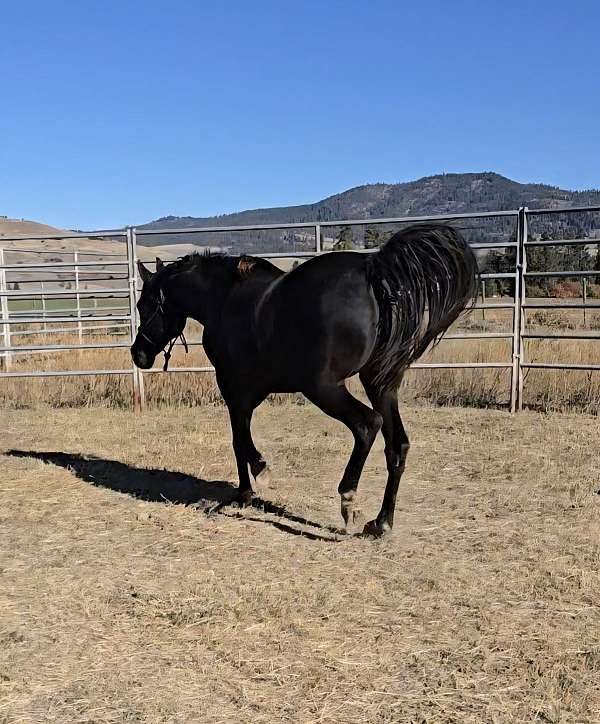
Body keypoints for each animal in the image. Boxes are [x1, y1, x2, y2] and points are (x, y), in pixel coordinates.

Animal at [131, 224, 478, 537]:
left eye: (144, 305)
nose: (138, 355)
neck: (224, 299)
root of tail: (371, 270)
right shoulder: (251, 391)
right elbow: (241, 436)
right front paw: (249, 486)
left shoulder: (232, 387)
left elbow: (239, 440)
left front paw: (251, 484)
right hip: (379, 384)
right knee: (397, 445)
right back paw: (381, 524)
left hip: (324, 389)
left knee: (368, 425)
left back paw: (348, 502)